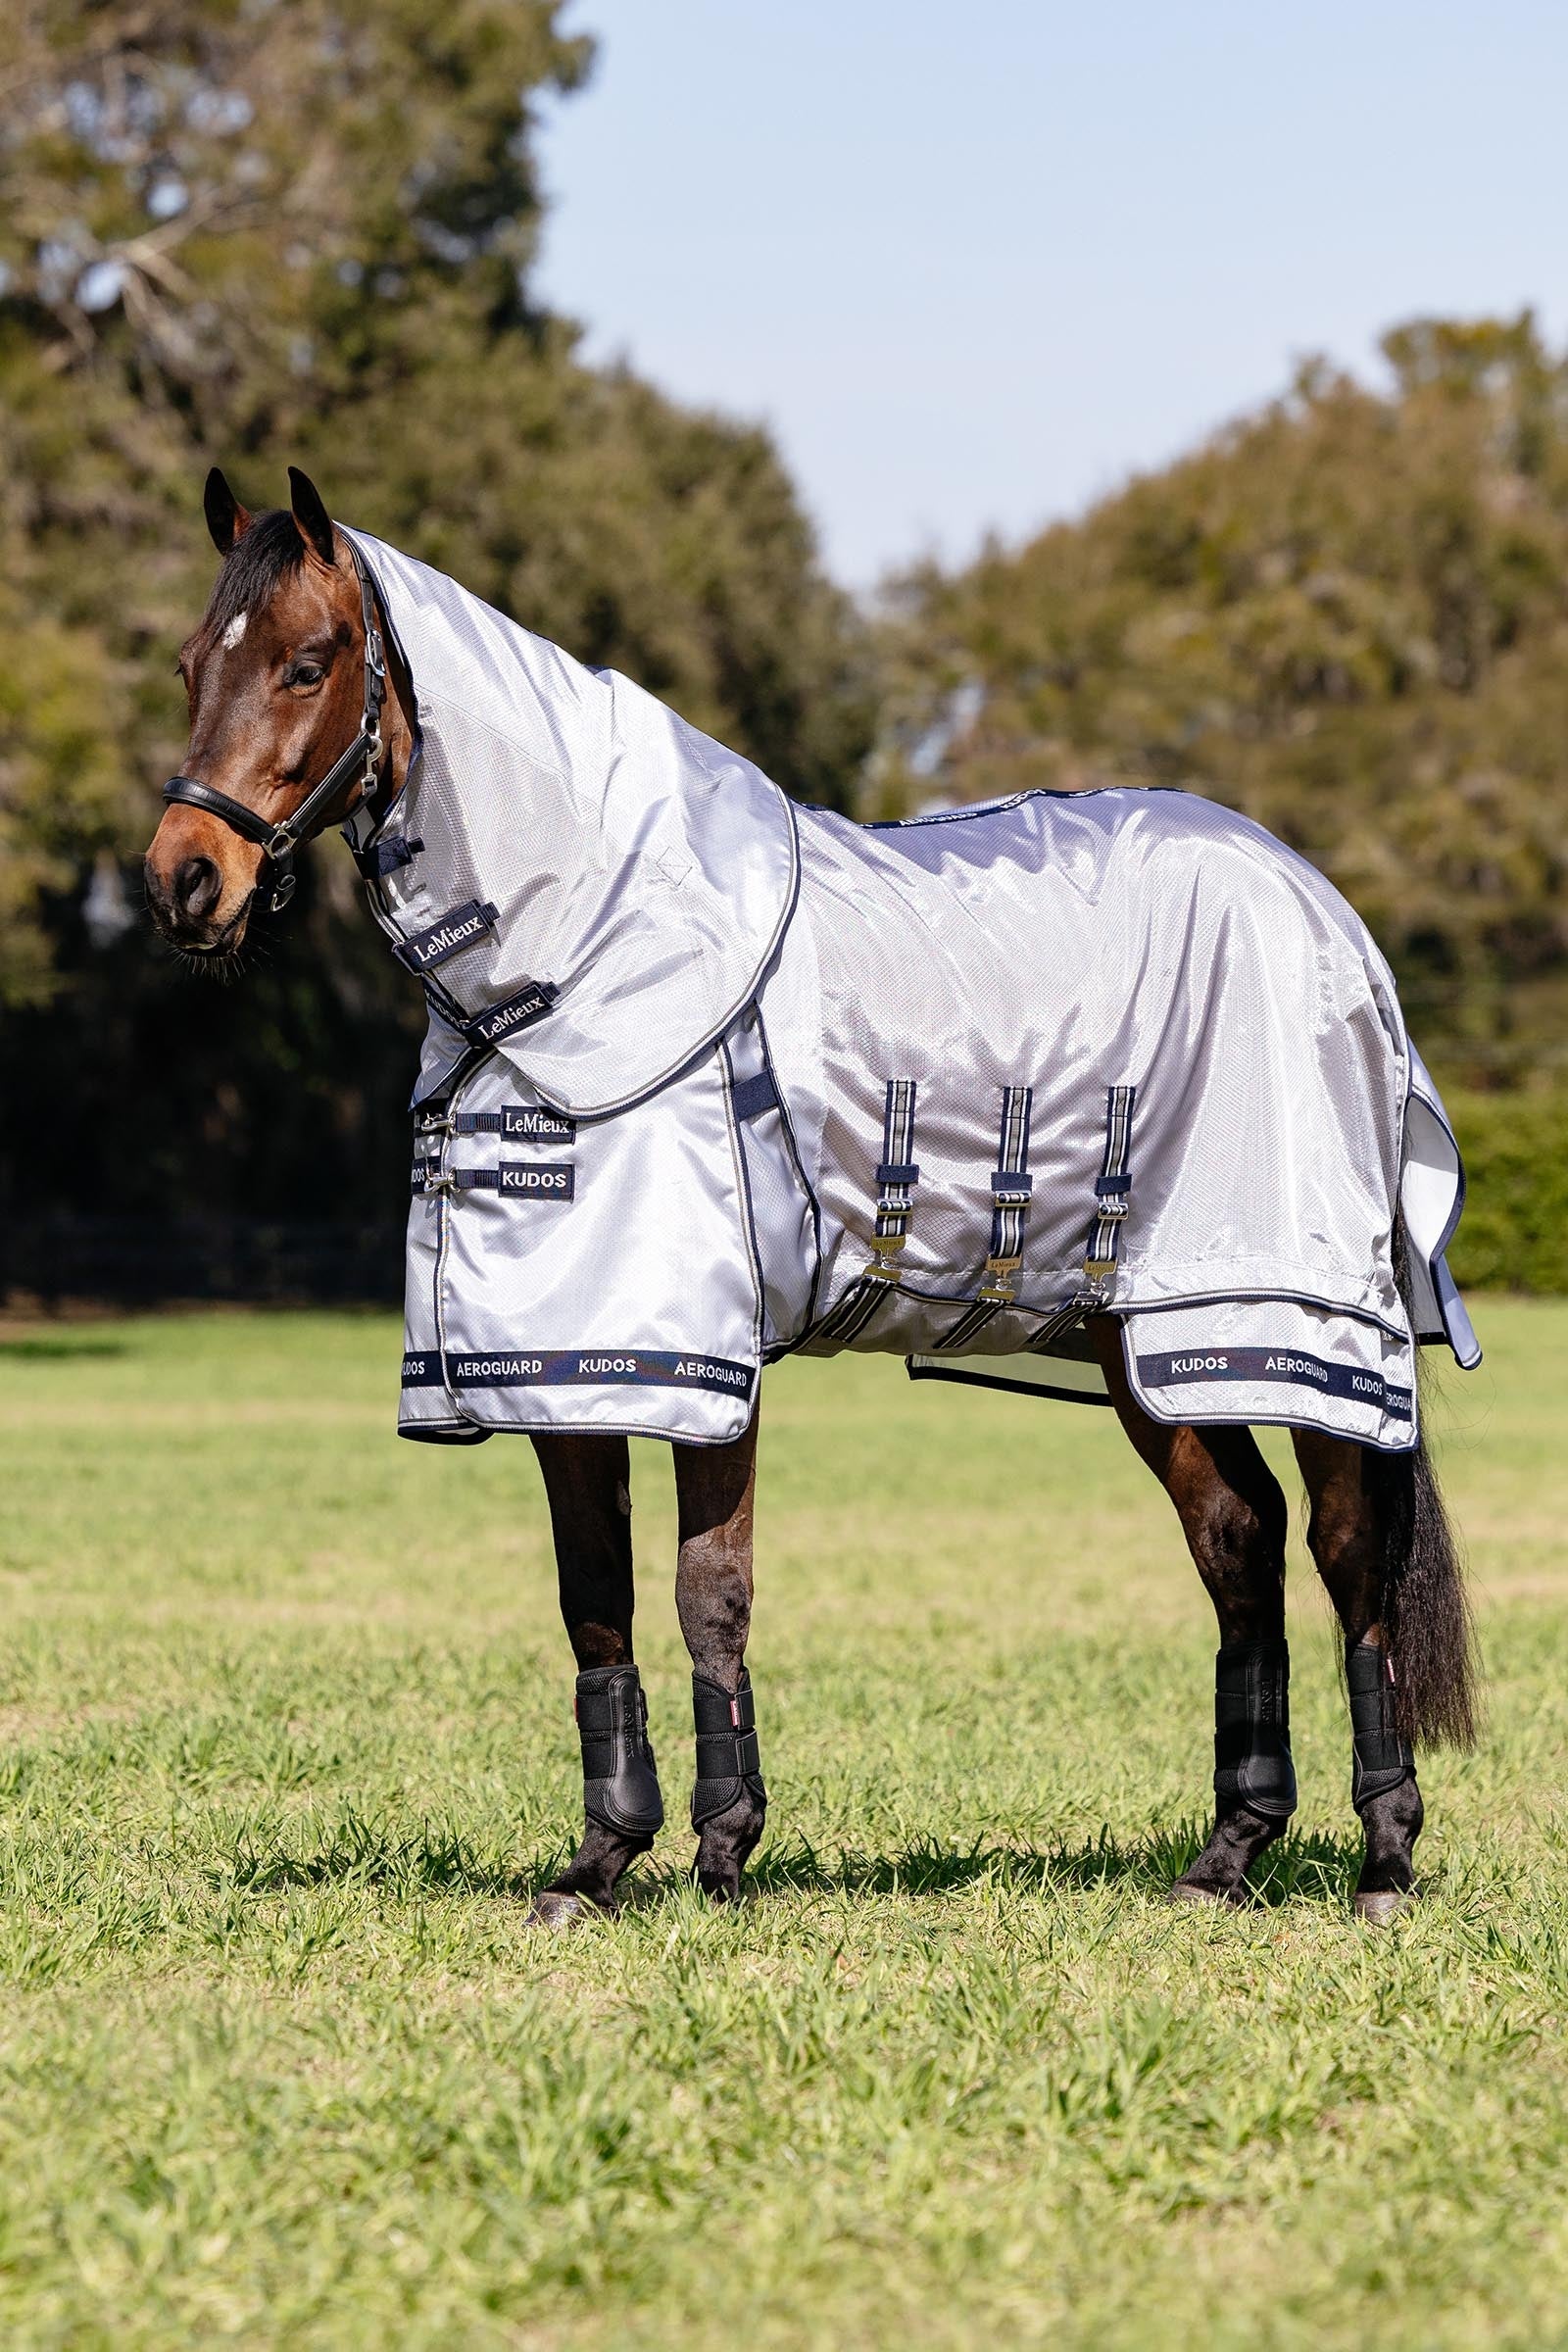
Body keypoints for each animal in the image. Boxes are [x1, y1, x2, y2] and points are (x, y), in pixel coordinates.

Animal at [144, 466, 1478, 1927]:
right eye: (189, 663)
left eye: (306, 662)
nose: (182, 880)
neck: (587, 954)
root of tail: (1326, 911)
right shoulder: (559, 1362)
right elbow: (594, 1597)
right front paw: (604, 1860)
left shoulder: (691, 1352)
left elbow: (705, 1589)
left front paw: (716, 1852)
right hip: (1146, 1348)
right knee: (1241, 1542)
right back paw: (1228, 1853)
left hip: (1287, 1322)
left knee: (1347, 1555)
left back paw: (1385, 1859)